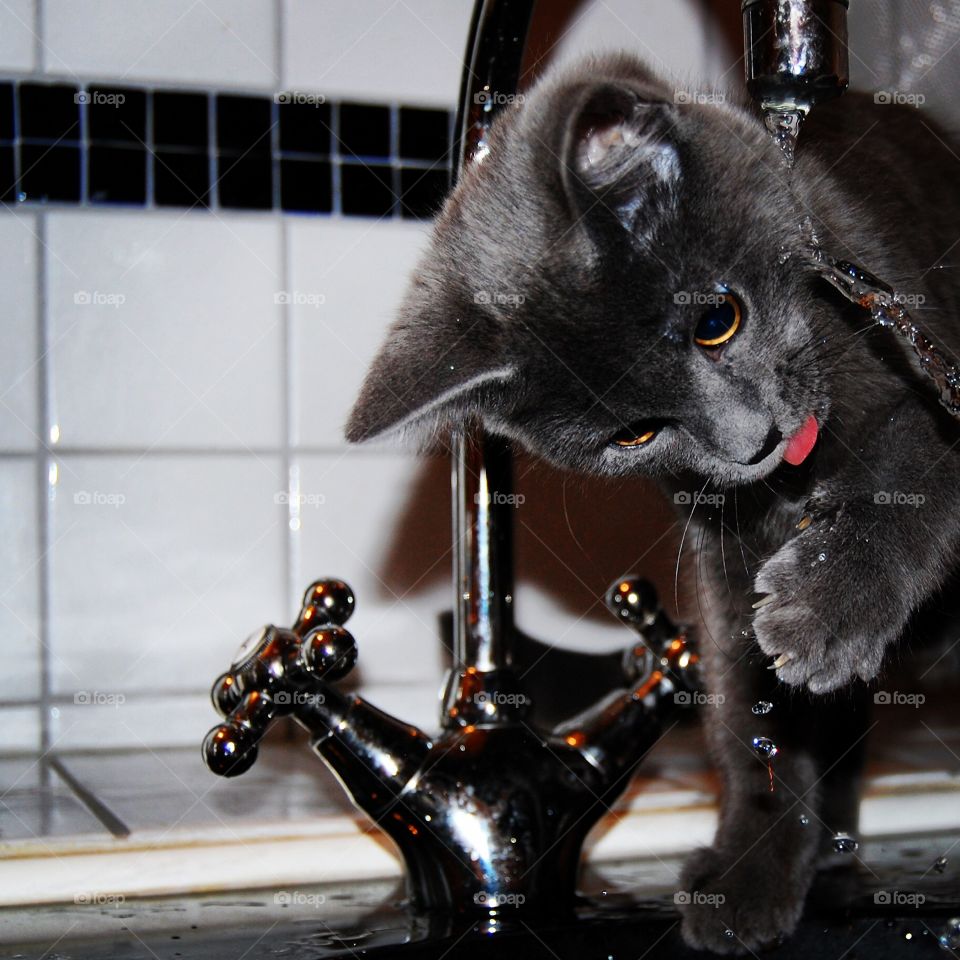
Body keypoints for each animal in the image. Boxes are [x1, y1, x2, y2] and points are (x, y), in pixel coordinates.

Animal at [344, 56, 960, 956]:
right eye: (634, 432)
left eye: (718, 319)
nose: (751, 442)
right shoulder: (720, 548)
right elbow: (749, 706)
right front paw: (749, 872)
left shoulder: (915, 354)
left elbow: (911, 475)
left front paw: (824, 611)